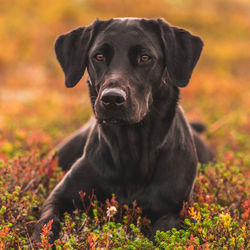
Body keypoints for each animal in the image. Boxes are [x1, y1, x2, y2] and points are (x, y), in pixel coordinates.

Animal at [31, 17, 215, 242]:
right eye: (99, 56)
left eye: (145, 57)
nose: (112, 98)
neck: (130, 150)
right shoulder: (59, 197)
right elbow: (46, 221)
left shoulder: (175, 211)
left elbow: (161, 234)